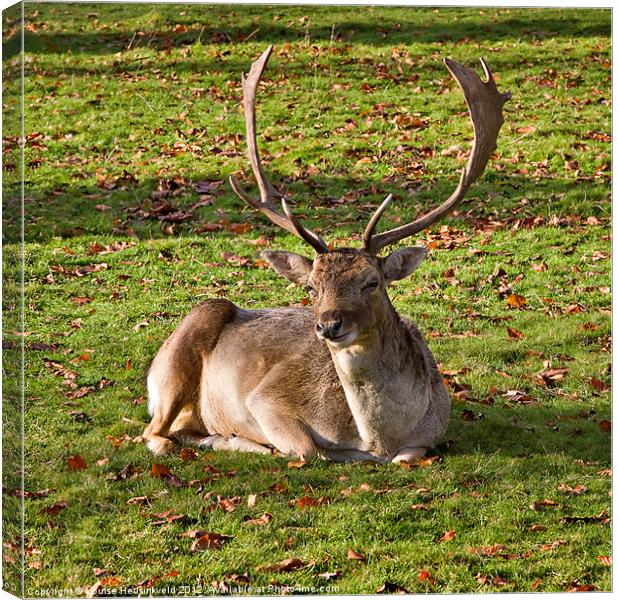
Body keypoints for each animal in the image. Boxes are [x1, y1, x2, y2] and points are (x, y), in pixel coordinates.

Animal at [144, 45, 510, 464]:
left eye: (372, 282)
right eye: (311, 287)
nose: (329, 325)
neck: (378, 440)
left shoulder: (431, 433)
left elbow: (408, 457)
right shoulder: (266, 399)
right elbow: (306, 448)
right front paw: (258, 443)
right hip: (180, 356)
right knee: (155, 433)